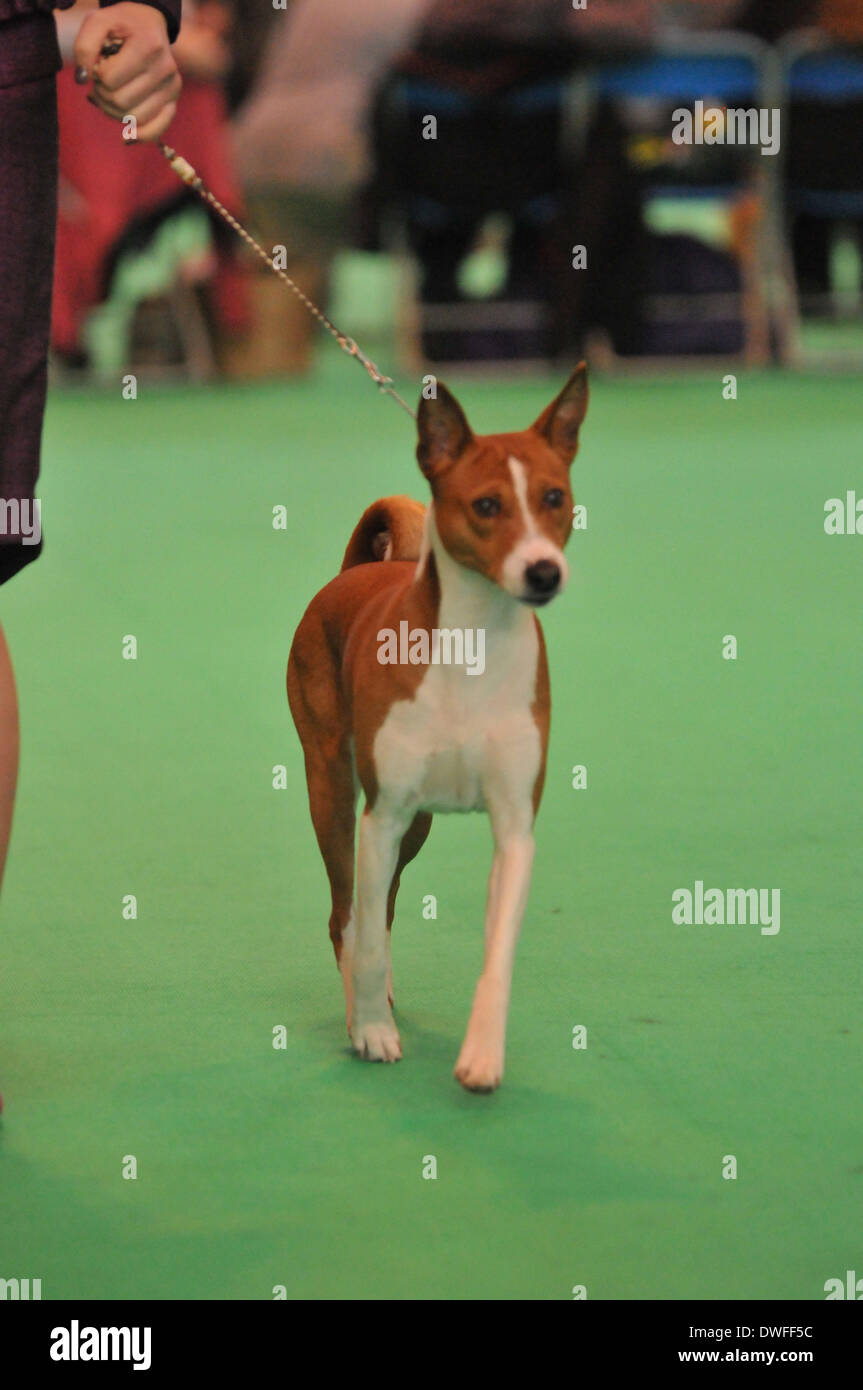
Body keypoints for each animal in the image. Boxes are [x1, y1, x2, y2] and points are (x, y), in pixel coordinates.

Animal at [286, 364, 589, 1089]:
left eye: (554, 496)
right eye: (486, 505)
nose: (543, 570)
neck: (472, 648)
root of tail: (359, 572)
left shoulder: (512, 825)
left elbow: (498, 949)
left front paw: (482, 1055)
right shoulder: (383, 813)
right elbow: (363, 932)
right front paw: (372, 1032)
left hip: (417, 825)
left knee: (385, 907)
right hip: (331, 788)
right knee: (347, 914)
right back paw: (361, 1008)